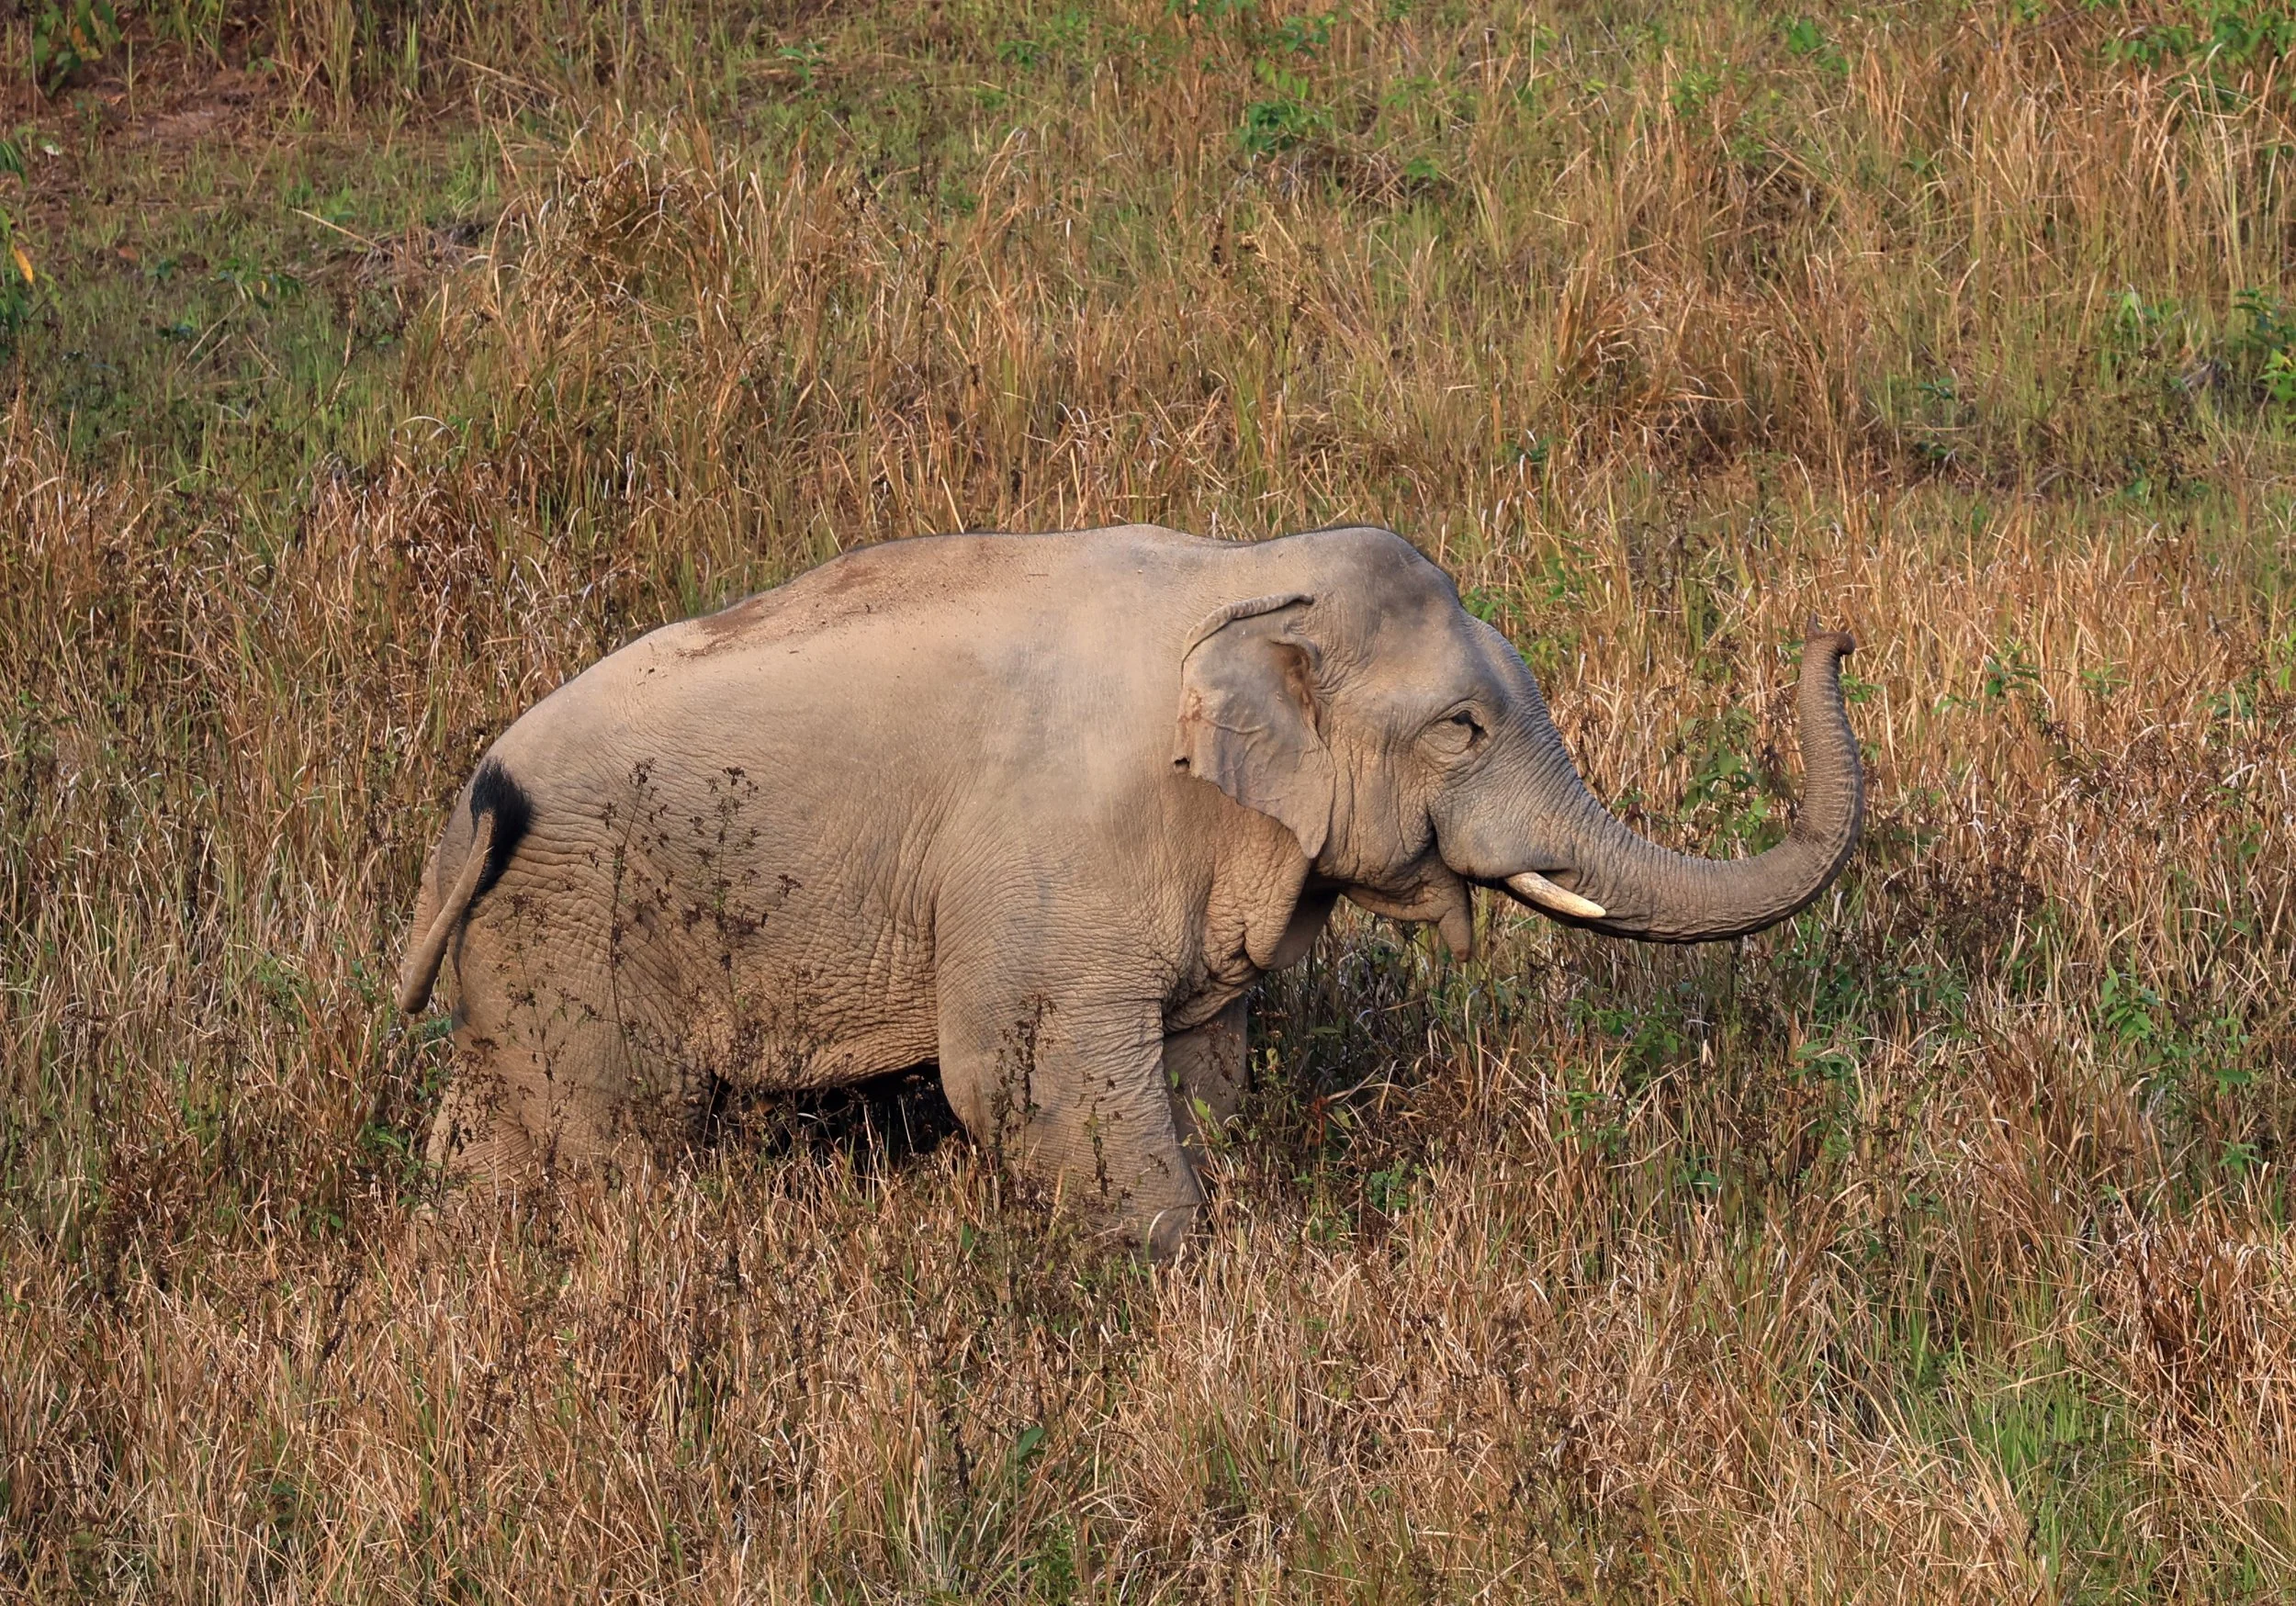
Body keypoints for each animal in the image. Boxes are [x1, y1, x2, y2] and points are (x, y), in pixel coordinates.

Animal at [397, 523, 1862, 1254]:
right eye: (1461, 730)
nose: (1836, 633)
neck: (1243, 575)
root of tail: (473, 806)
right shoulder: (1056, 852)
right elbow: (1020, 1076)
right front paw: (1185, 1271)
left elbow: (1202, 1057)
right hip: (583, 938)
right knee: (610, 1145)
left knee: (489, 1135)